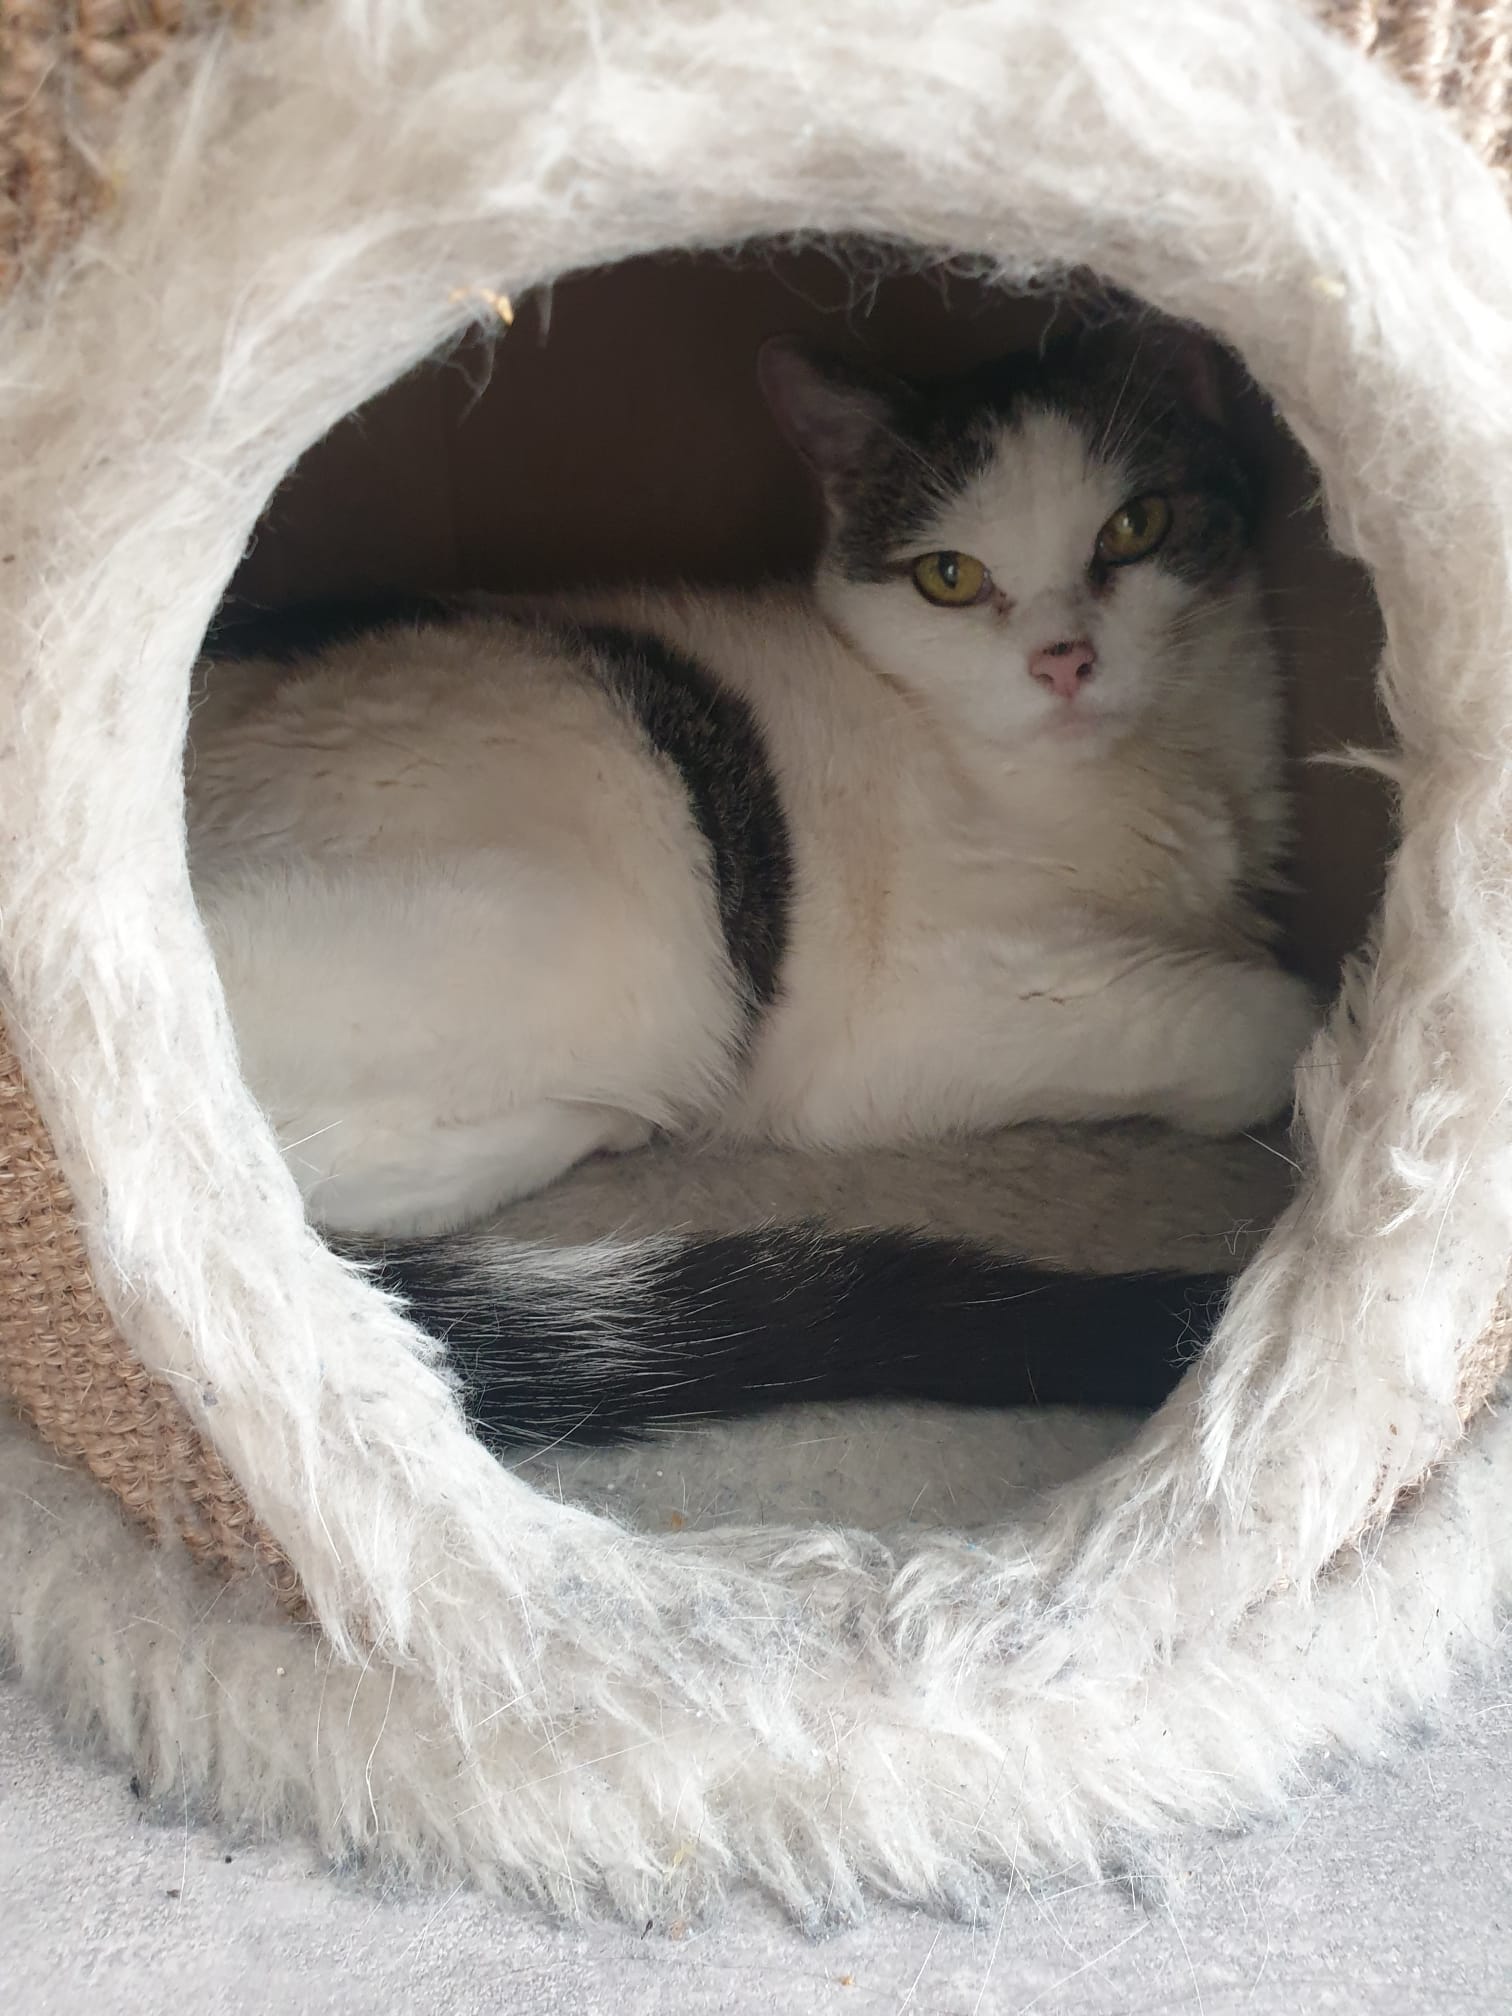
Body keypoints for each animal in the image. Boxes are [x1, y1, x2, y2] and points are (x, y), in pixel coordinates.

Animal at [187, 325, 1316, 1444]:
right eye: (952, 577)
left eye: (1136, 526)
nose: (1065, 660)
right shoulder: (913, 1026)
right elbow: (1261, 1026)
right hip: (625, 933)